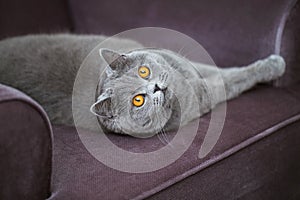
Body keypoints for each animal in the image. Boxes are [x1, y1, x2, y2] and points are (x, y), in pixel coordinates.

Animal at [0, 34, 284, 138]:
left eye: (144, 71)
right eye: (138, 100)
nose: (156, 87)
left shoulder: (187, 65)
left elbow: (222, 71)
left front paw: (274, 63)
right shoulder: (202, 93)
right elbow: (230, 81)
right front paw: (275, 65)